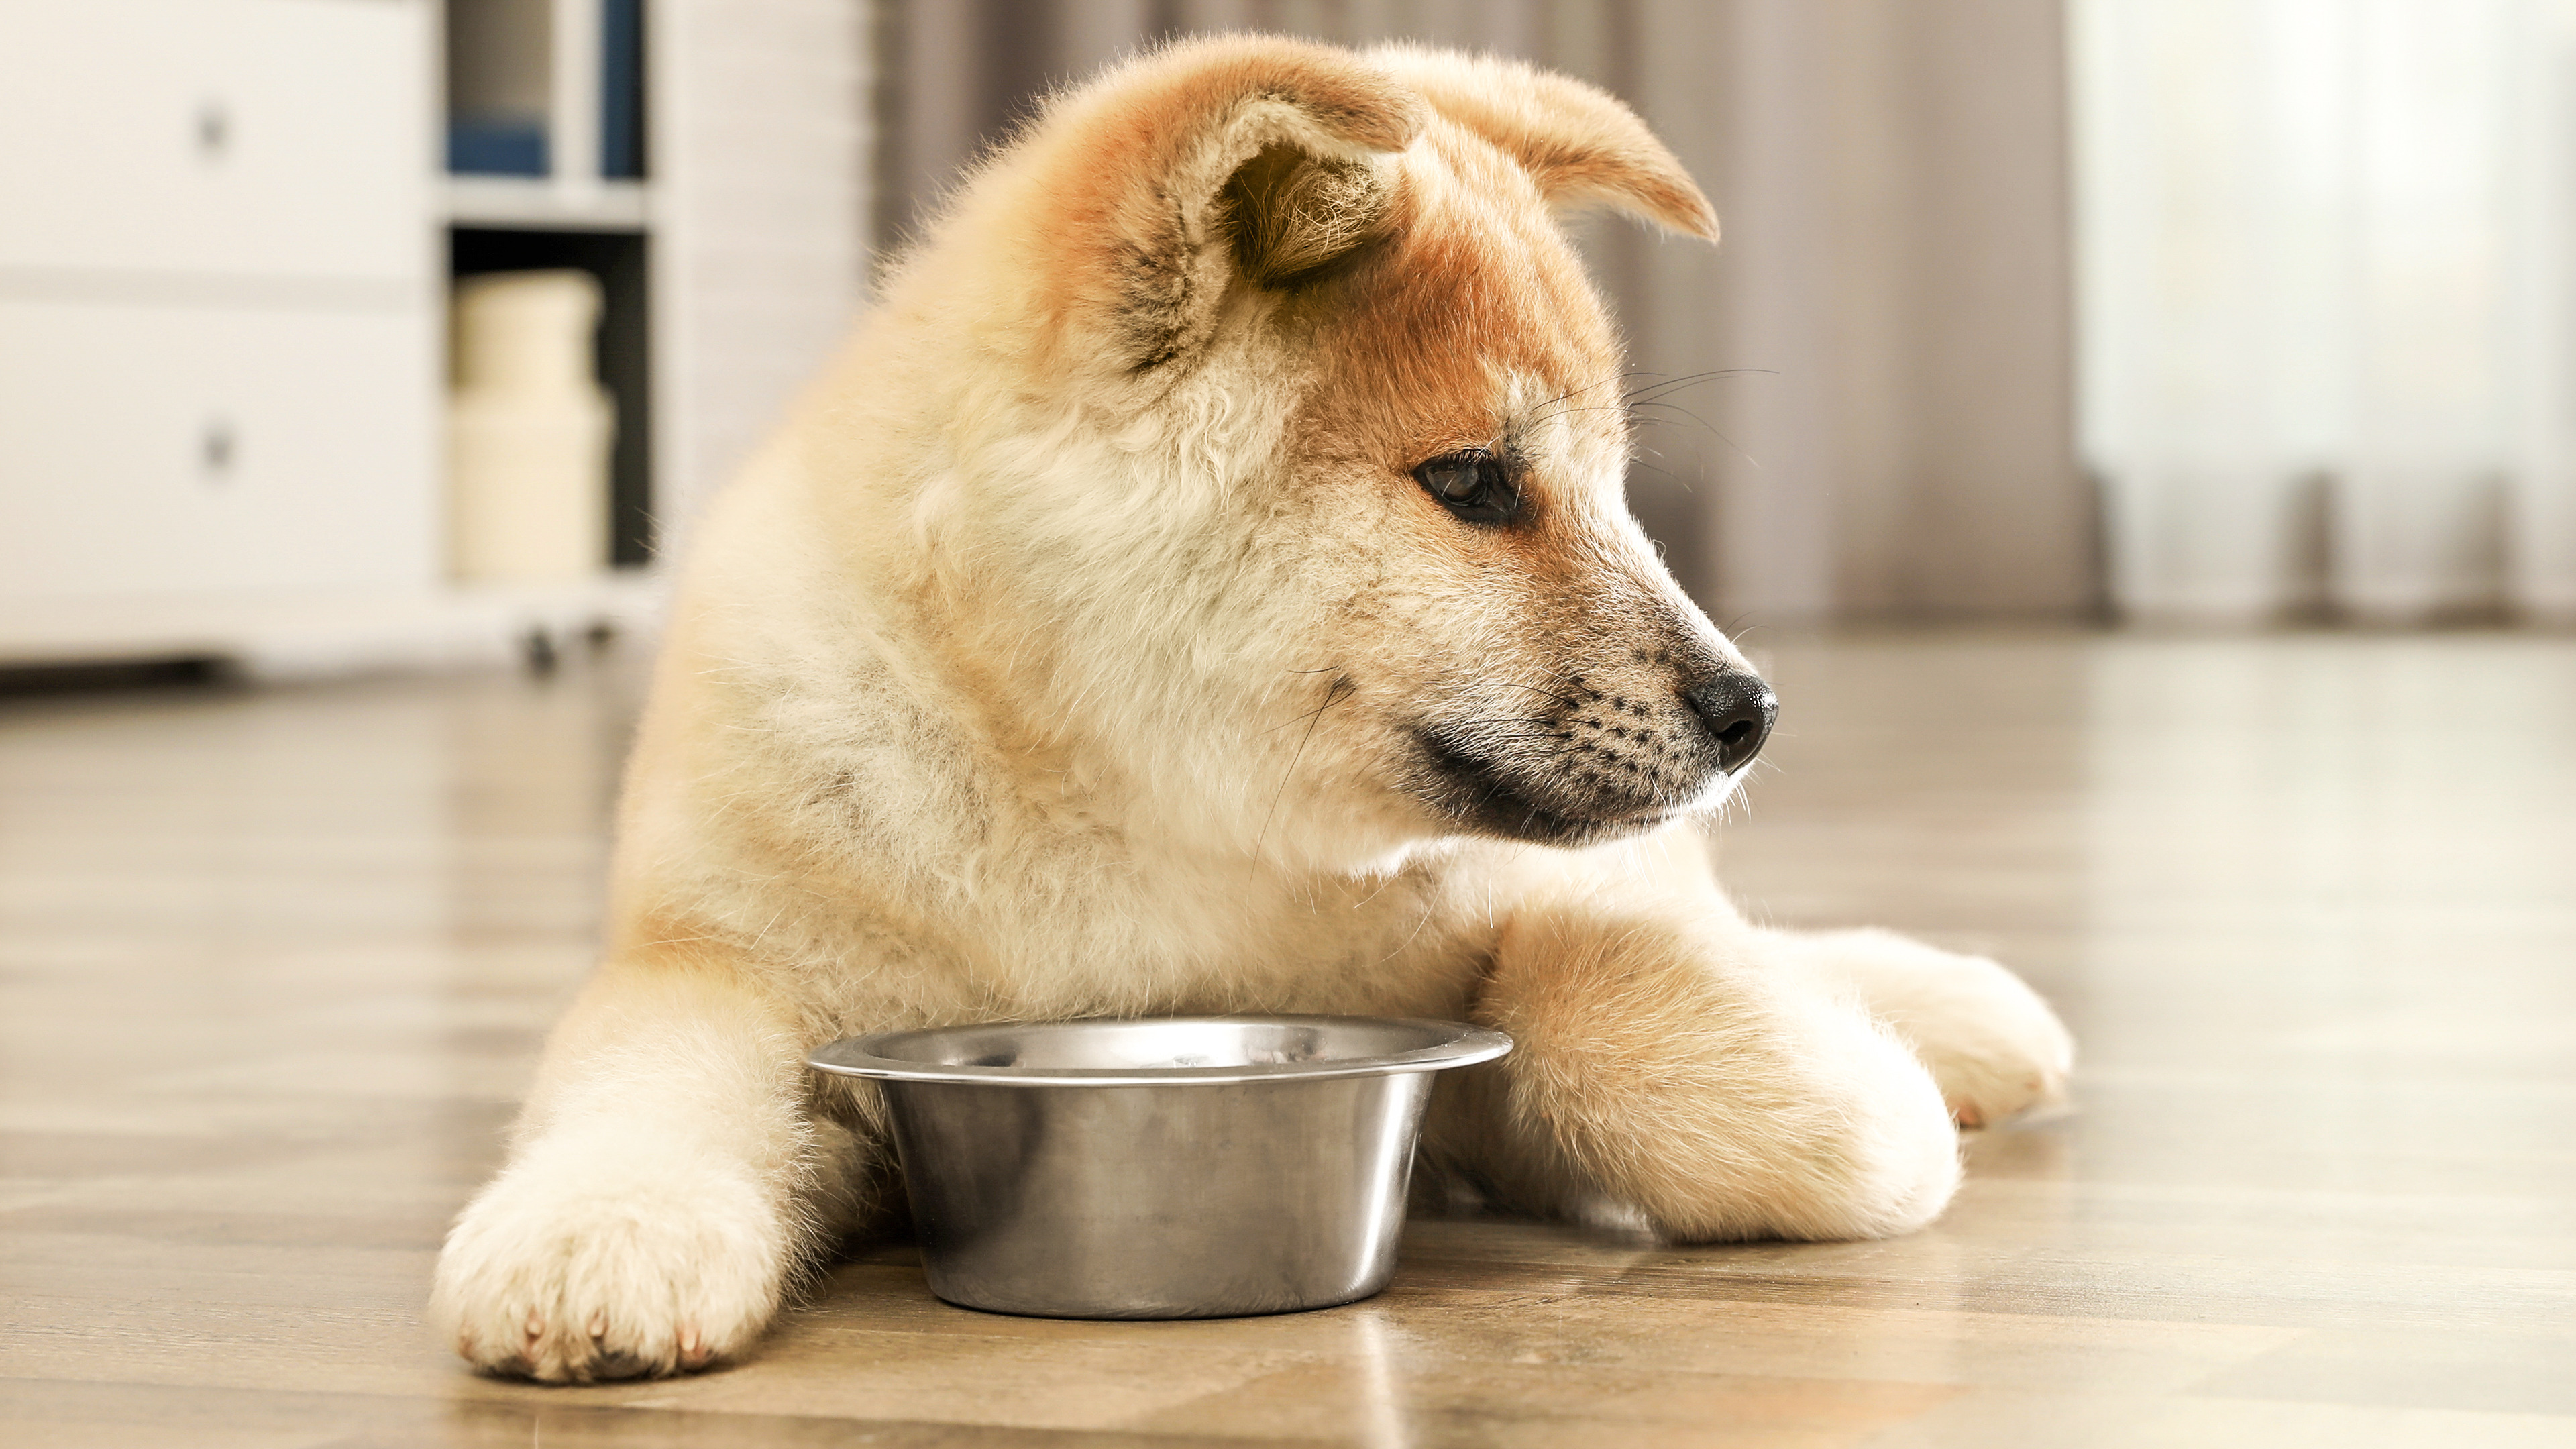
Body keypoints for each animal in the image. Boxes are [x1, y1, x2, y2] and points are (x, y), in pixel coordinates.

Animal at [422, 39, 2071, 1382]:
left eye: (1615, 485)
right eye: (1474, 483)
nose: (1752, 710)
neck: (1142, 826)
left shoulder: (1532, 936)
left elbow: (1594, 988)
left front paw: (1862, 1103)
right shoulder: (717, 959)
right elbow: (651, 1084)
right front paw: (602, 1232)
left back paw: (1954, 1015)